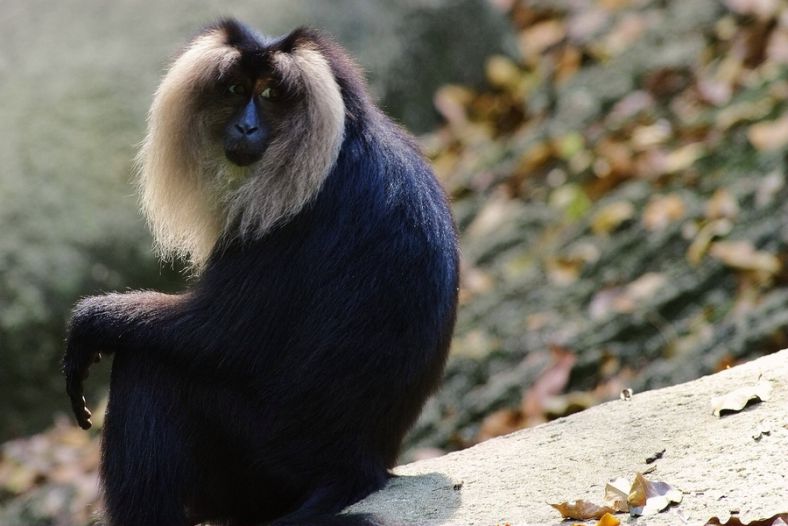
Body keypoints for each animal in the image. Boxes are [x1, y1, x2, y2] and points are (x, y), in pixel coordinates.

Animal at [62, 19, 459, 526]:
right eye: (236, 90)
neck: (343, 144)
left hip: (267, 460)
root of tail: (357, 469)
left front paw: (92, 320)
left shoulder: (293, 219)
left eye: (270, 94)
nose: (246, 125)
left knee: (149, 367)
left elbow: (218, 334)